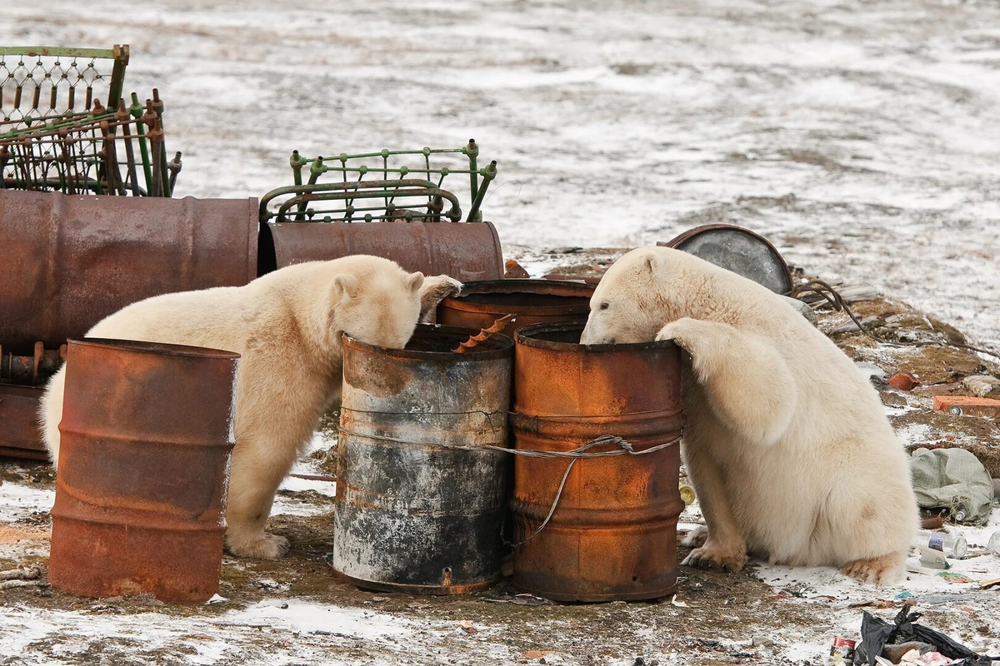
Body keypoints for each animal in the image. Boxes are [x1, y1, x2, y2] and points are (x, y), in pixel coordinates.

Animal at [39, 256, 460, 556]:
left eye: (398, 344)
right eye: (361, 340)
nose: (385, 381)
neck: (300, 318)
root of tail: (53, 392)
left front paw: (443, 285)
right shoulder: (282, 368)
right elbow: (266, 453)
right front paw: (265, 544)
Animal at [584, 245, 916, 580]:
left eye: (604, 304)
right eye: (593, 303)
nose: (586, 343)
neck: (707, 300)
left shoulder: (758, 334)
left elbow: (772, 396)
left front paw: (677, 329)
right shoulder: (696, 400)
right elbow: (708, 469)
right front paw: (712, 554)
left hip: (854, 473)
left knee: (862, 507)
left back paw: (871, 564)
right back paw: (699, 534)